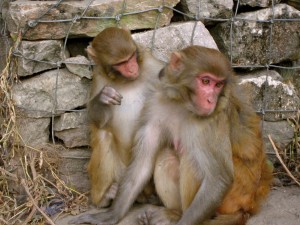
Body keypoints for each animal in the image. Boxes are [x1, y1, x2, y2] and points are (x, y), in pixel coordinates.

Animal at [86, 26, 164, 207]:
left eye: (130, 58)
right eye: (120, 63)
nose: (132, 69)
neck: (125, 80)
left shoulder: (151, 65)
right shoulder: (98, 75)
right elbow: (96, 120)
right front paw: (103, 98)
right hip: (120, 173)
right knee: (103, 134)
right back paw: (104, 197)